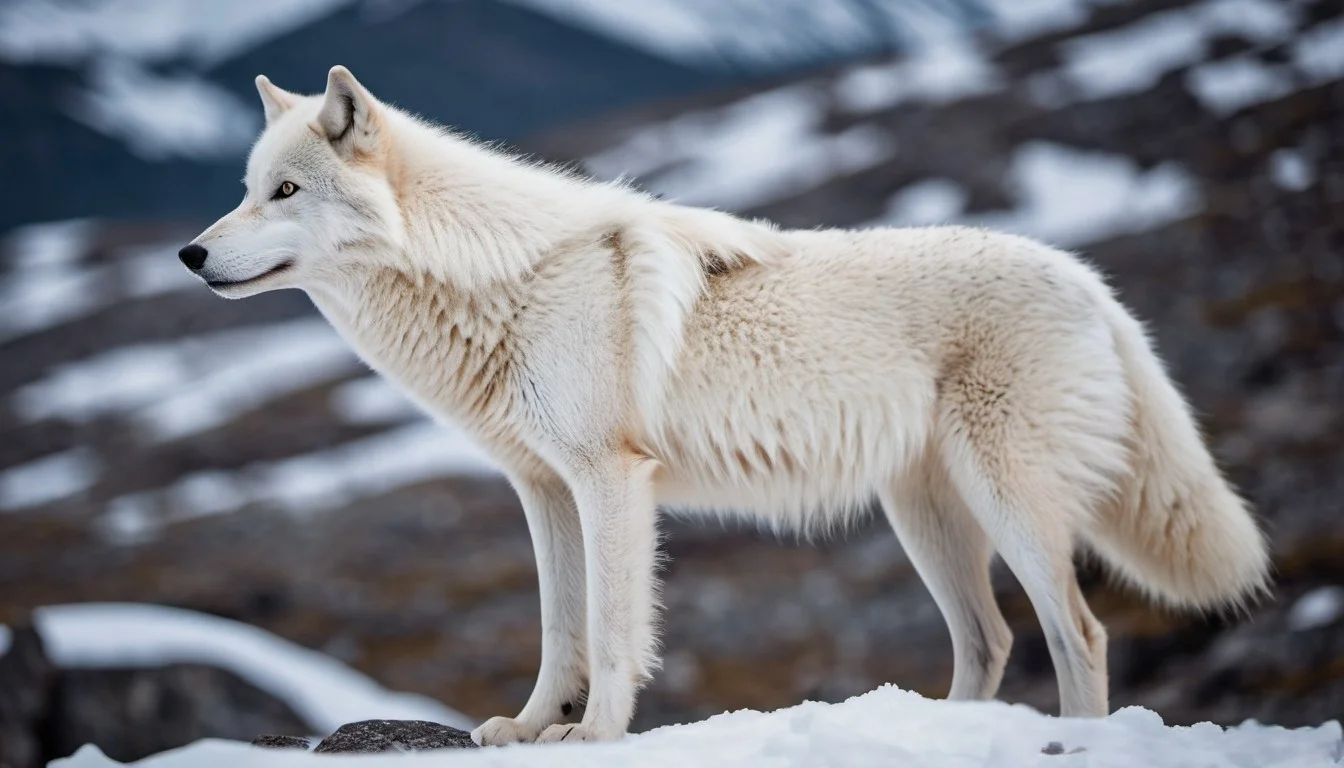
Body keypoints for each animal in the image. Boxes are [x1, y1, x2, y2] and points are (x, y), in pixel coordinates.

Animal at [181, 66, 1270, 744]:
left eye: (284, 191)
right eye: (244, 189)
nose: (189, 254)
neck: (495, 276)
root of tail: (1091, 282)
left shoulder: (611, 480)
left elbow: (612, 632)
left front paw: (595, 735)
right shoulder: (543, 491)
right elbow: (558, 630)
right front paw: (529, 729)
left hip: (1011, 507)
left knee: (1079, 634)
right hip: (925, 519)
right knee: (991, 640)